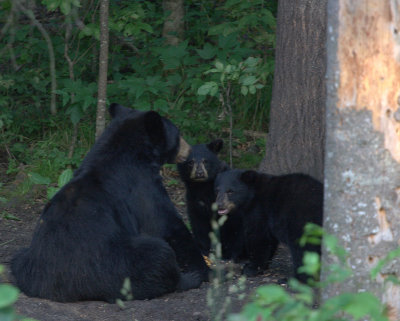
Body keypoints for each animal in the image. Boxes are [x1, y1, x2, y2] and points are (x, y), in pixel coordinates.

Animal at [10, 104, 208, 302]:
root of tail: (50, 288)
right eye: (178, 133)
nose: (189, 150)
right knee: (157, 256)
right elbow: (166, 224)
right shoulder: (142, 185)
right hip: (115, 264)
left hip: (24, 260)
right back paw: (188, 279)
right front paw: (203, 268)